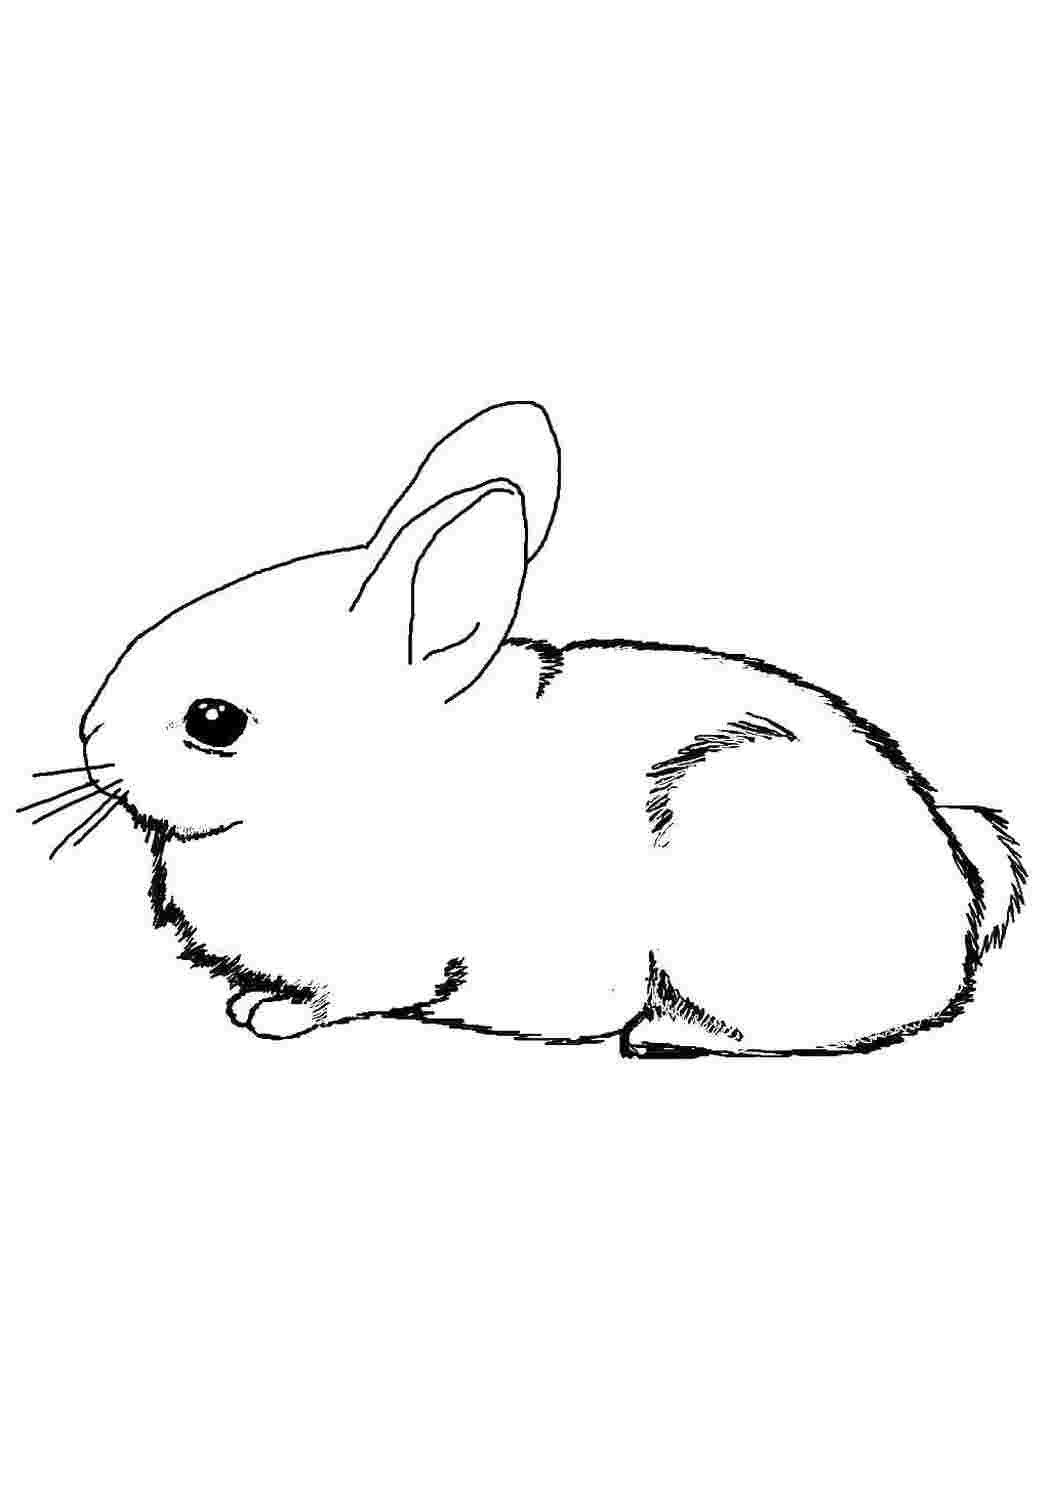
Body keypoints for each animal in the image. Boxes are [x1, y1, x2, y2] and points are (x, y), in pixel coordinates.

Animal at [58, 400, 1023, 1055]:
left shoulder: (401, 953)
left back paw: (661, 1036)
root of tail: (962, 894)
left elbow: (353, 993)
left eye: (213, 721)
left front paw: (271, 1014)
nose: (90, 738)